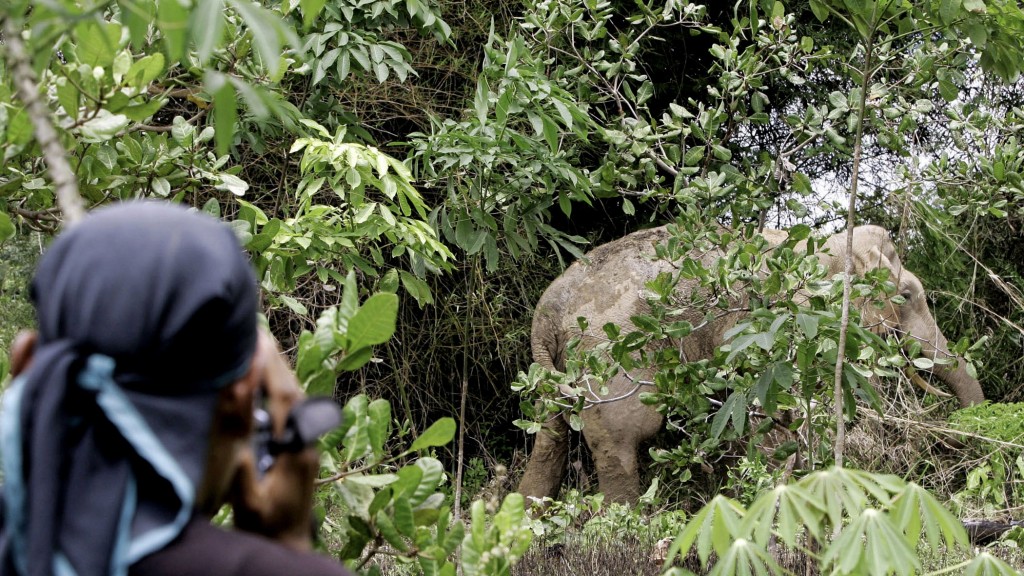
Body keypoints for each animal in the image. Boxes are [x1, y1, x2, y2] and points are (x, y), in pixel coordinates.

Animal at [520, 223, 983, 502]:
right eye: (906, 296)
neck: (830, 247)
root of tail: (546, 315)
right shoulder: (790, 323)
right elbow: (778, 413)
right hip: (610, 357)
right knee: (621, 440)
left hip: (551, 375)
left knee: (548, 441)